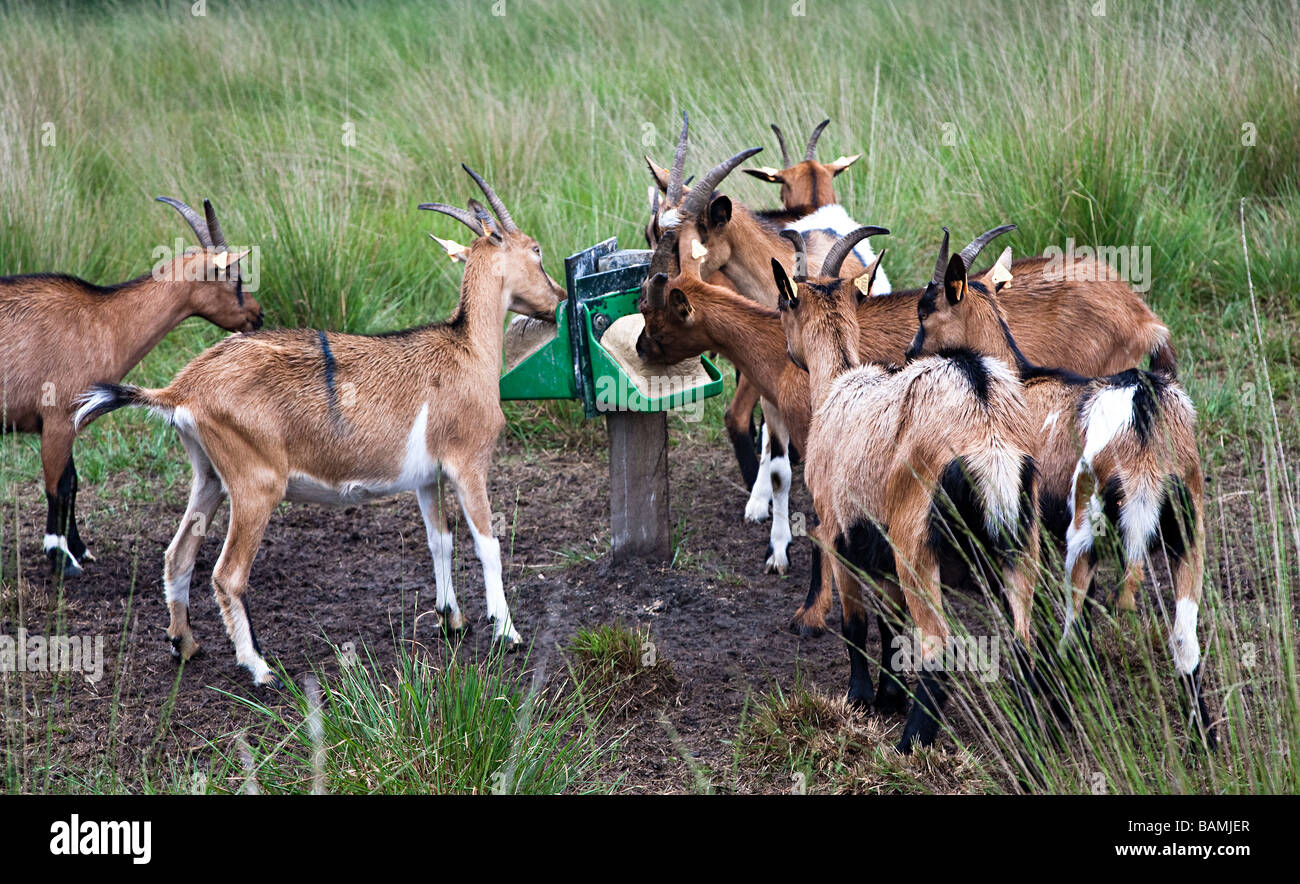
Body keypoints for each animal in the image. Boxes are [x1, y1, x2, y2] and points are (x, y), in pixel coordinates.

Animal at [0, 196, 263, 577]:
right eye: (236, 279)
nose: (258, 316)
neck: (104, 319)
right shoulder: (57, 420)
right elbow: (58, 486)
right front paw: (61, 558)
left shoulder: (69, 421)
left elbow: (72, 482)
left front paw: (79, 549)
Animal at [774, 224, 1040, 748]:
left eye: (783, 304)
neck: (839, 382)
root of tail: (986, 424)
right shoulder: (882, 554)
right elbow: (890, 624)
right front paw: (889, 696)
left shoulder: (838, 529)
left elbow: (856, 622)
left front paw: (860, 699)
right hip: (1020, 541)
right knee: (1023, 639)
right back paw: (1040, 736)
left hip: (917, 543)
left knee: (939, 644)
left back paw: (911, 743)